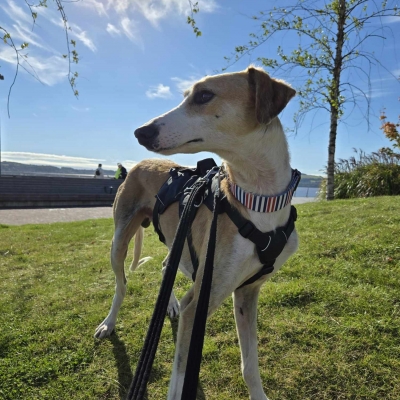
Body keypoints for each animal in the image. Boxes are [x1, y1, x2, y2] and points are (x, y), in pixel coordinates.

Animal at [95, 66, 298, 400]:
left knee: (166, 266)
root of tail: (138, 165)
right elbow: (178, 380)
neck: (256, 201)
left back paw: (170, 303)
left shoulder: (246, 292)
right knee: (121, 285)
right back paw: (109, 323)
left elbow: (250, 365)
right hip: (119, 241)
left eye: (204, 95)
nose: (140, 132)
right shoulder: (199, 307)